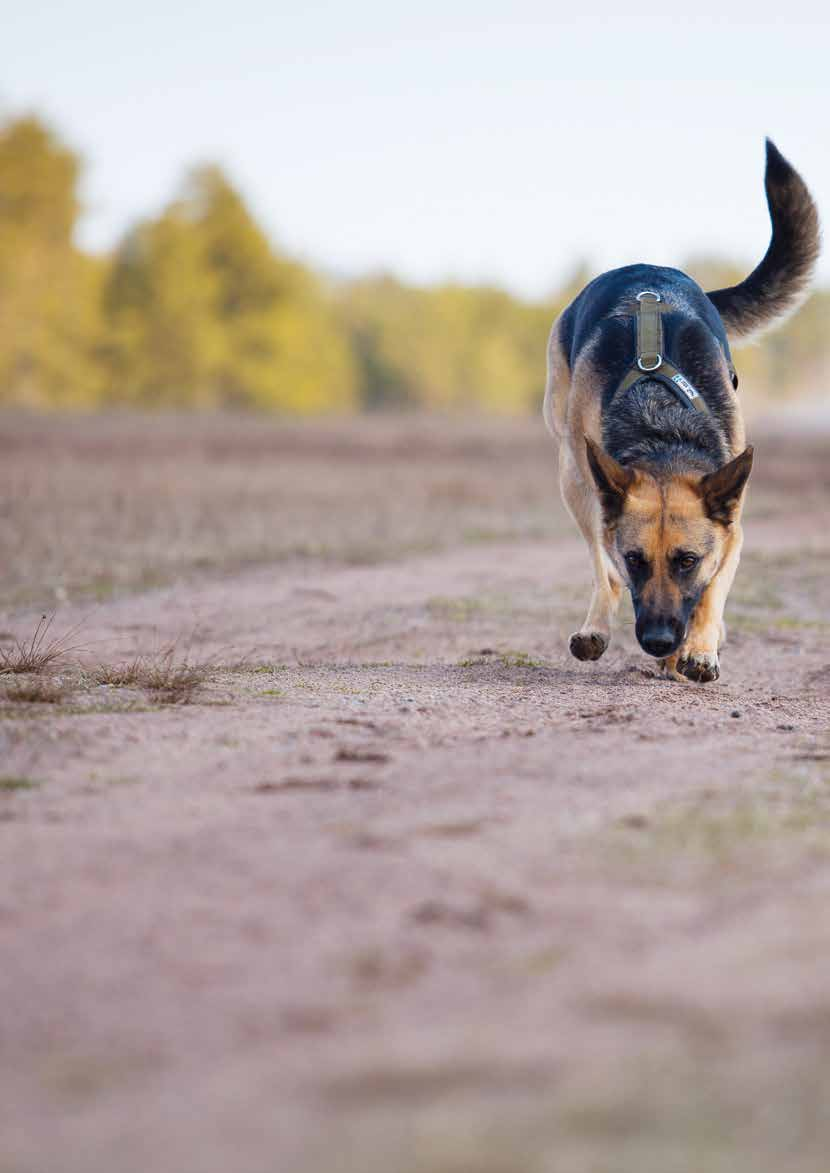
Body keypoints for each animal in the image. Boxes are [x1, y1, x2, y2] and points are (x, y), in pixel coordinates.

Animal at [541, 140, 820, 685]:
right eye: (637, 560)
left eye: (687, 560)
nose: (656, 641)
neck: (662, 427)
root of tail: (648, 269)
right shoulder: (602, 507)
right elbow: (609, 570)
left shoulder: (732, 528)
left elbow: (711, 593)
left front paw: (698, 650)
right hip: (572, 475)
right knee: (599, 567)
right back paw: (599, 629)